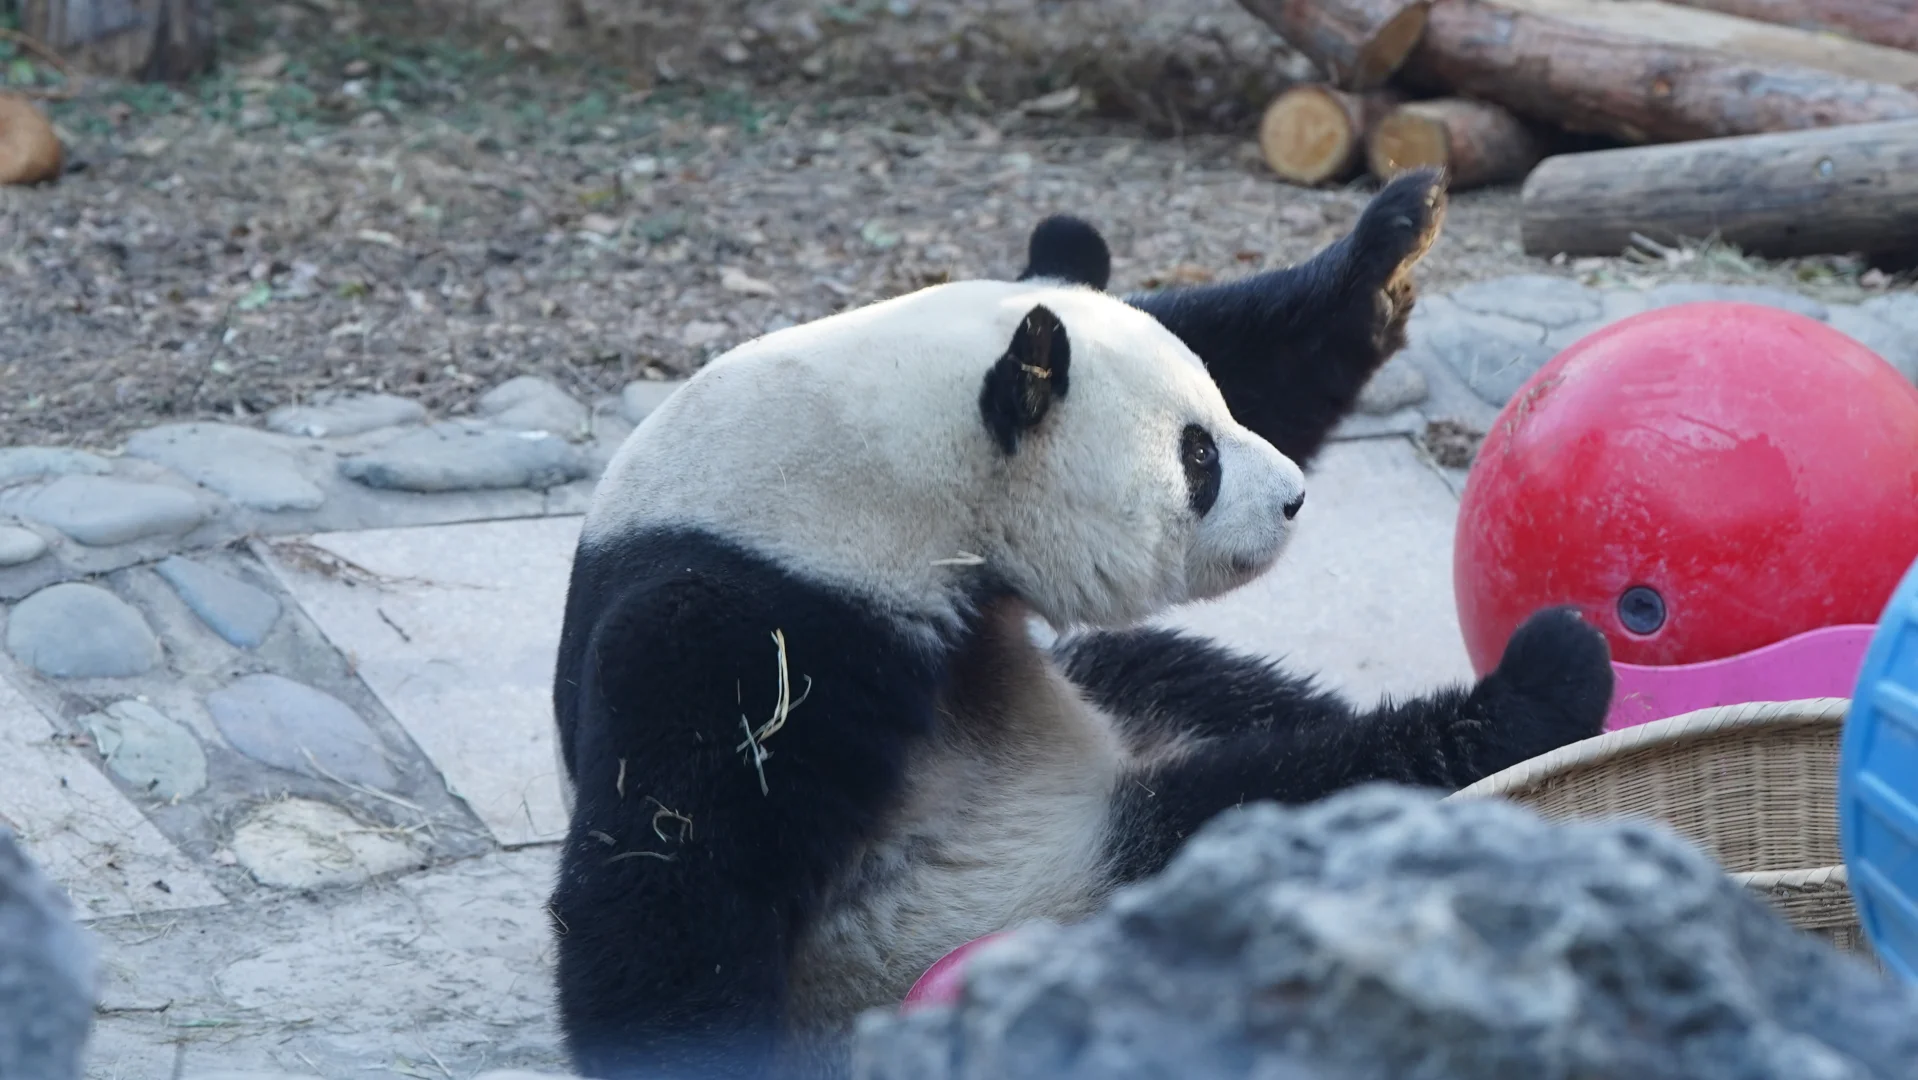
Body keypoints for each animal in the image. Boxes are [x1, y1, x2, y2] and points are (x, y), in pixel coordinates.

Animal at [548, 170, 1611, 1080]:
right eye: (1197, 458)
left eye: (1217, 419)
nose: (1293, 498)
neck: (879, 470)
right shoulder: (760, 615)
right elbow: (673, 867)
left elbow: (1251, 349)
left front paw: (1391, 241)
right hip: (1036, 883)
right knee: (1267, 811)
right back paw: (1537, 688)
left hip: (1108, 703)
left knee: (1187, 673)